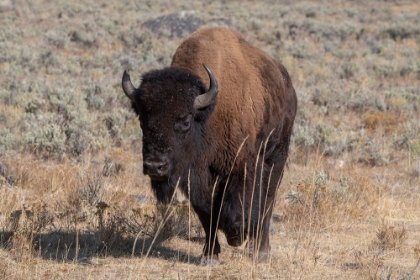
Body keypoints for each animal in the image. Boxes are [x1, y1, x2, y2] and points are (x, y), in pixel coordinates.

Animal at [123, 26, 296, 264]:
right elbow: (207, 213)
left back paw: (261, 251)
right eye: (142, 119)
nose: (155, 166)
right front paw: (209, 255)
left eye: (185, 121)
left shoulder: (243, 165)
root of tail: (287, 84)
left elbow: (240, 207)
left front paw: (236, 236)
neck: (208, 113)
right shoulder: (196, 176)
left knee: (268, 201)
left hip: (277, 154)